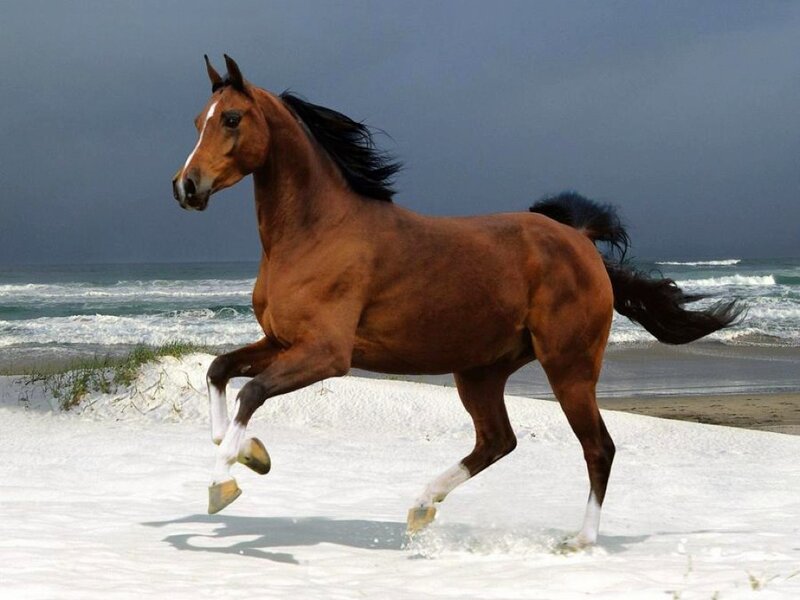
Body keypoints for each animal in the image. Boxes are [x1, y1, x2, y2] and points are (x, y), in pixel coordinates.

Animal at [172, 55, 741, 547]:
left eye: (231, 119)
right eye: (198, 120)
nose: (186, 186)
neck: (315, 232)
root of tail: (579, 240)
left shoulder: (326, 355)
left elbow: (251, 393)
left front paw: (224, 482)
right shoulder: (281, 341)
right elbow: (220, 371)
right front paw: (250, 454)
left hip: (569, 367)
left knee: (597, 447)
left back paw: (579, 541)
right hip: (481, 371)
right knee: (498, 441)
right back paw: (422, 506)